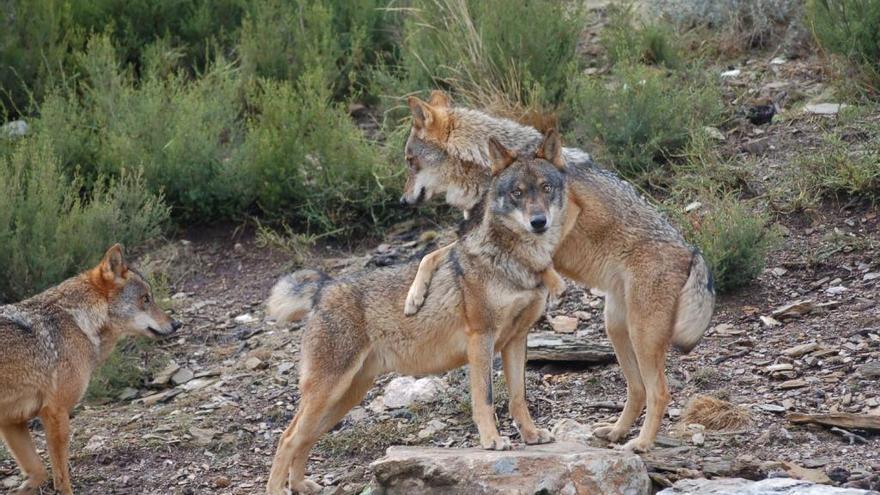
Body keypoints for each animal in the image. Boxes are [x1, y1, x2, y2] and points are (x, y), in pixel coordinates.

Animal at [0, 246, 180, 494]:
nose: (176, 324)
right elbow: (61, 478)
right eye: (146, 299)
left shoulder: (12, 421)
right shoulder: (55, 412)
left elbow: (39, 472)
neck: (78, 321)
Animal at [264, 132, 572, 495]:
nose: (539, 222)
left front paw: (531, 435)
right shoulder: (480, 339)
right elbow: (484, 398)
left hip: (344, 398)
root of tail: (324, 288)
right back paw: (277, 488)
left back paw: (300, 484)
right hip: (329, 392)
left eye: (545, 188)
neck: (519, 264)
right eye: (517, 193)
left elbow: (518, 398)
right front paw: (492, 441)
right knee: (287, 438)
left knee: (304, 438)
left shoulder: (516, 340)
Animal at [398, 91, 716, 456]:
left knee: (659, 392)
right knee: (637, 389)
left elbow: (529, 251)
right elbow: (431, 255)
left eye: (410, 161)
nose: (402, 201)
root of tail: (691, 250)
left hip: (642, 335)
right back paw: (616, 433)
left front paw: (551, 279)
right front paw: (414, 296)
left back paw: (640, 444)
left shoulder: (566, 214)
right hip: (617, 329)